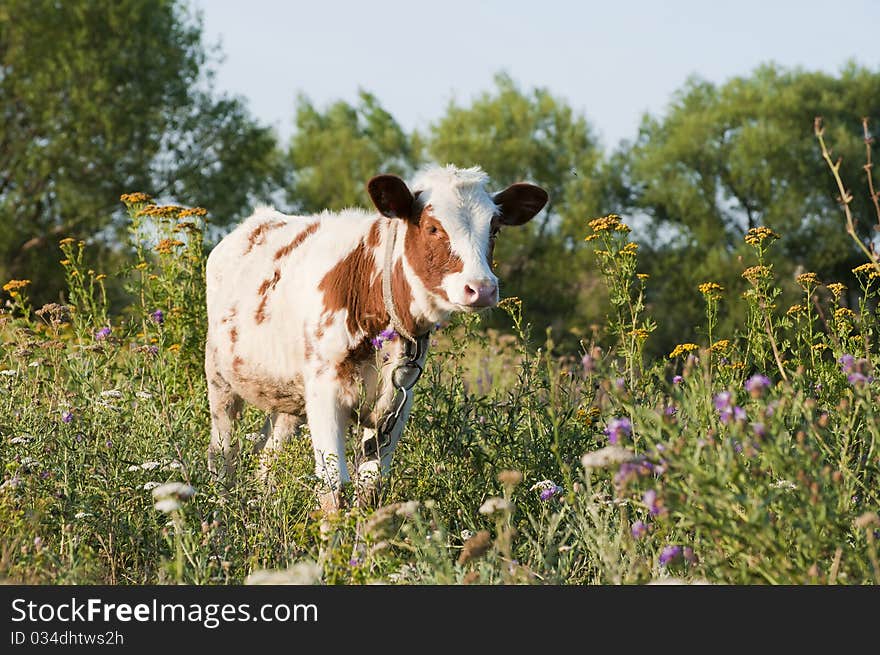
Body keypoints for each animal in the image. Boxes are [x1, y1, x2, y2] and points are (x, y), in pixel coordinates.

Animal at [208, 165, 552, 512]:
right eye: (432, 227)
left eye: (494, 229)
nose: (481, 288)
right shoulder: (324, 389)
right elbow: (333, 484)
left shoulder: (397, 400)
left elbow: (371, 487)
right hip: (219, 380)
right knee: (223, 453)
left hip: (287, 397)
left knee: (268, 458)